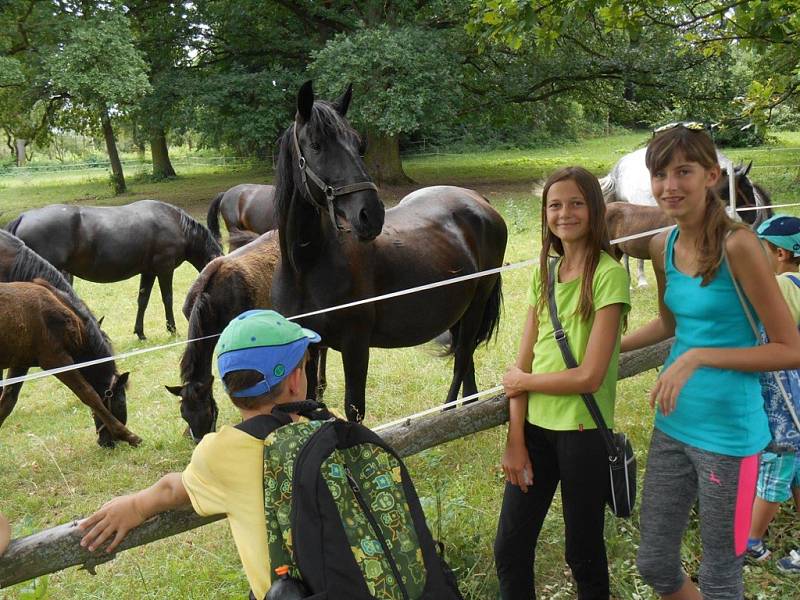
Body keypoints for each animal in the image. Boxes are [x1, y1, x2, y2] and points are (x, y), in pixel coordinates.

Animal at [0, 229, 133, 446]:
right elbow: (89, 394)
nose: (106, 442)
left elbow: (8, 400)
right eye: (120, 401)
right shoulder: (55, 359)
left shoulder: (20, 359)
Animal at [268, 82, 506, 422]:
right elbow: (310, 404)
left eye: (359, 145)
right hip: (459, 309)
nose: (371, 214)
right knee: (466, 358)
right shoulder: (309, 348)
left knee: (462, 357)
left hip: (476, 304)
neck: (305, 268)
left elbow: (354, 410)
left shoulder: (356, 346)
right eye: (316, 145)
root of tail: (479, 200)